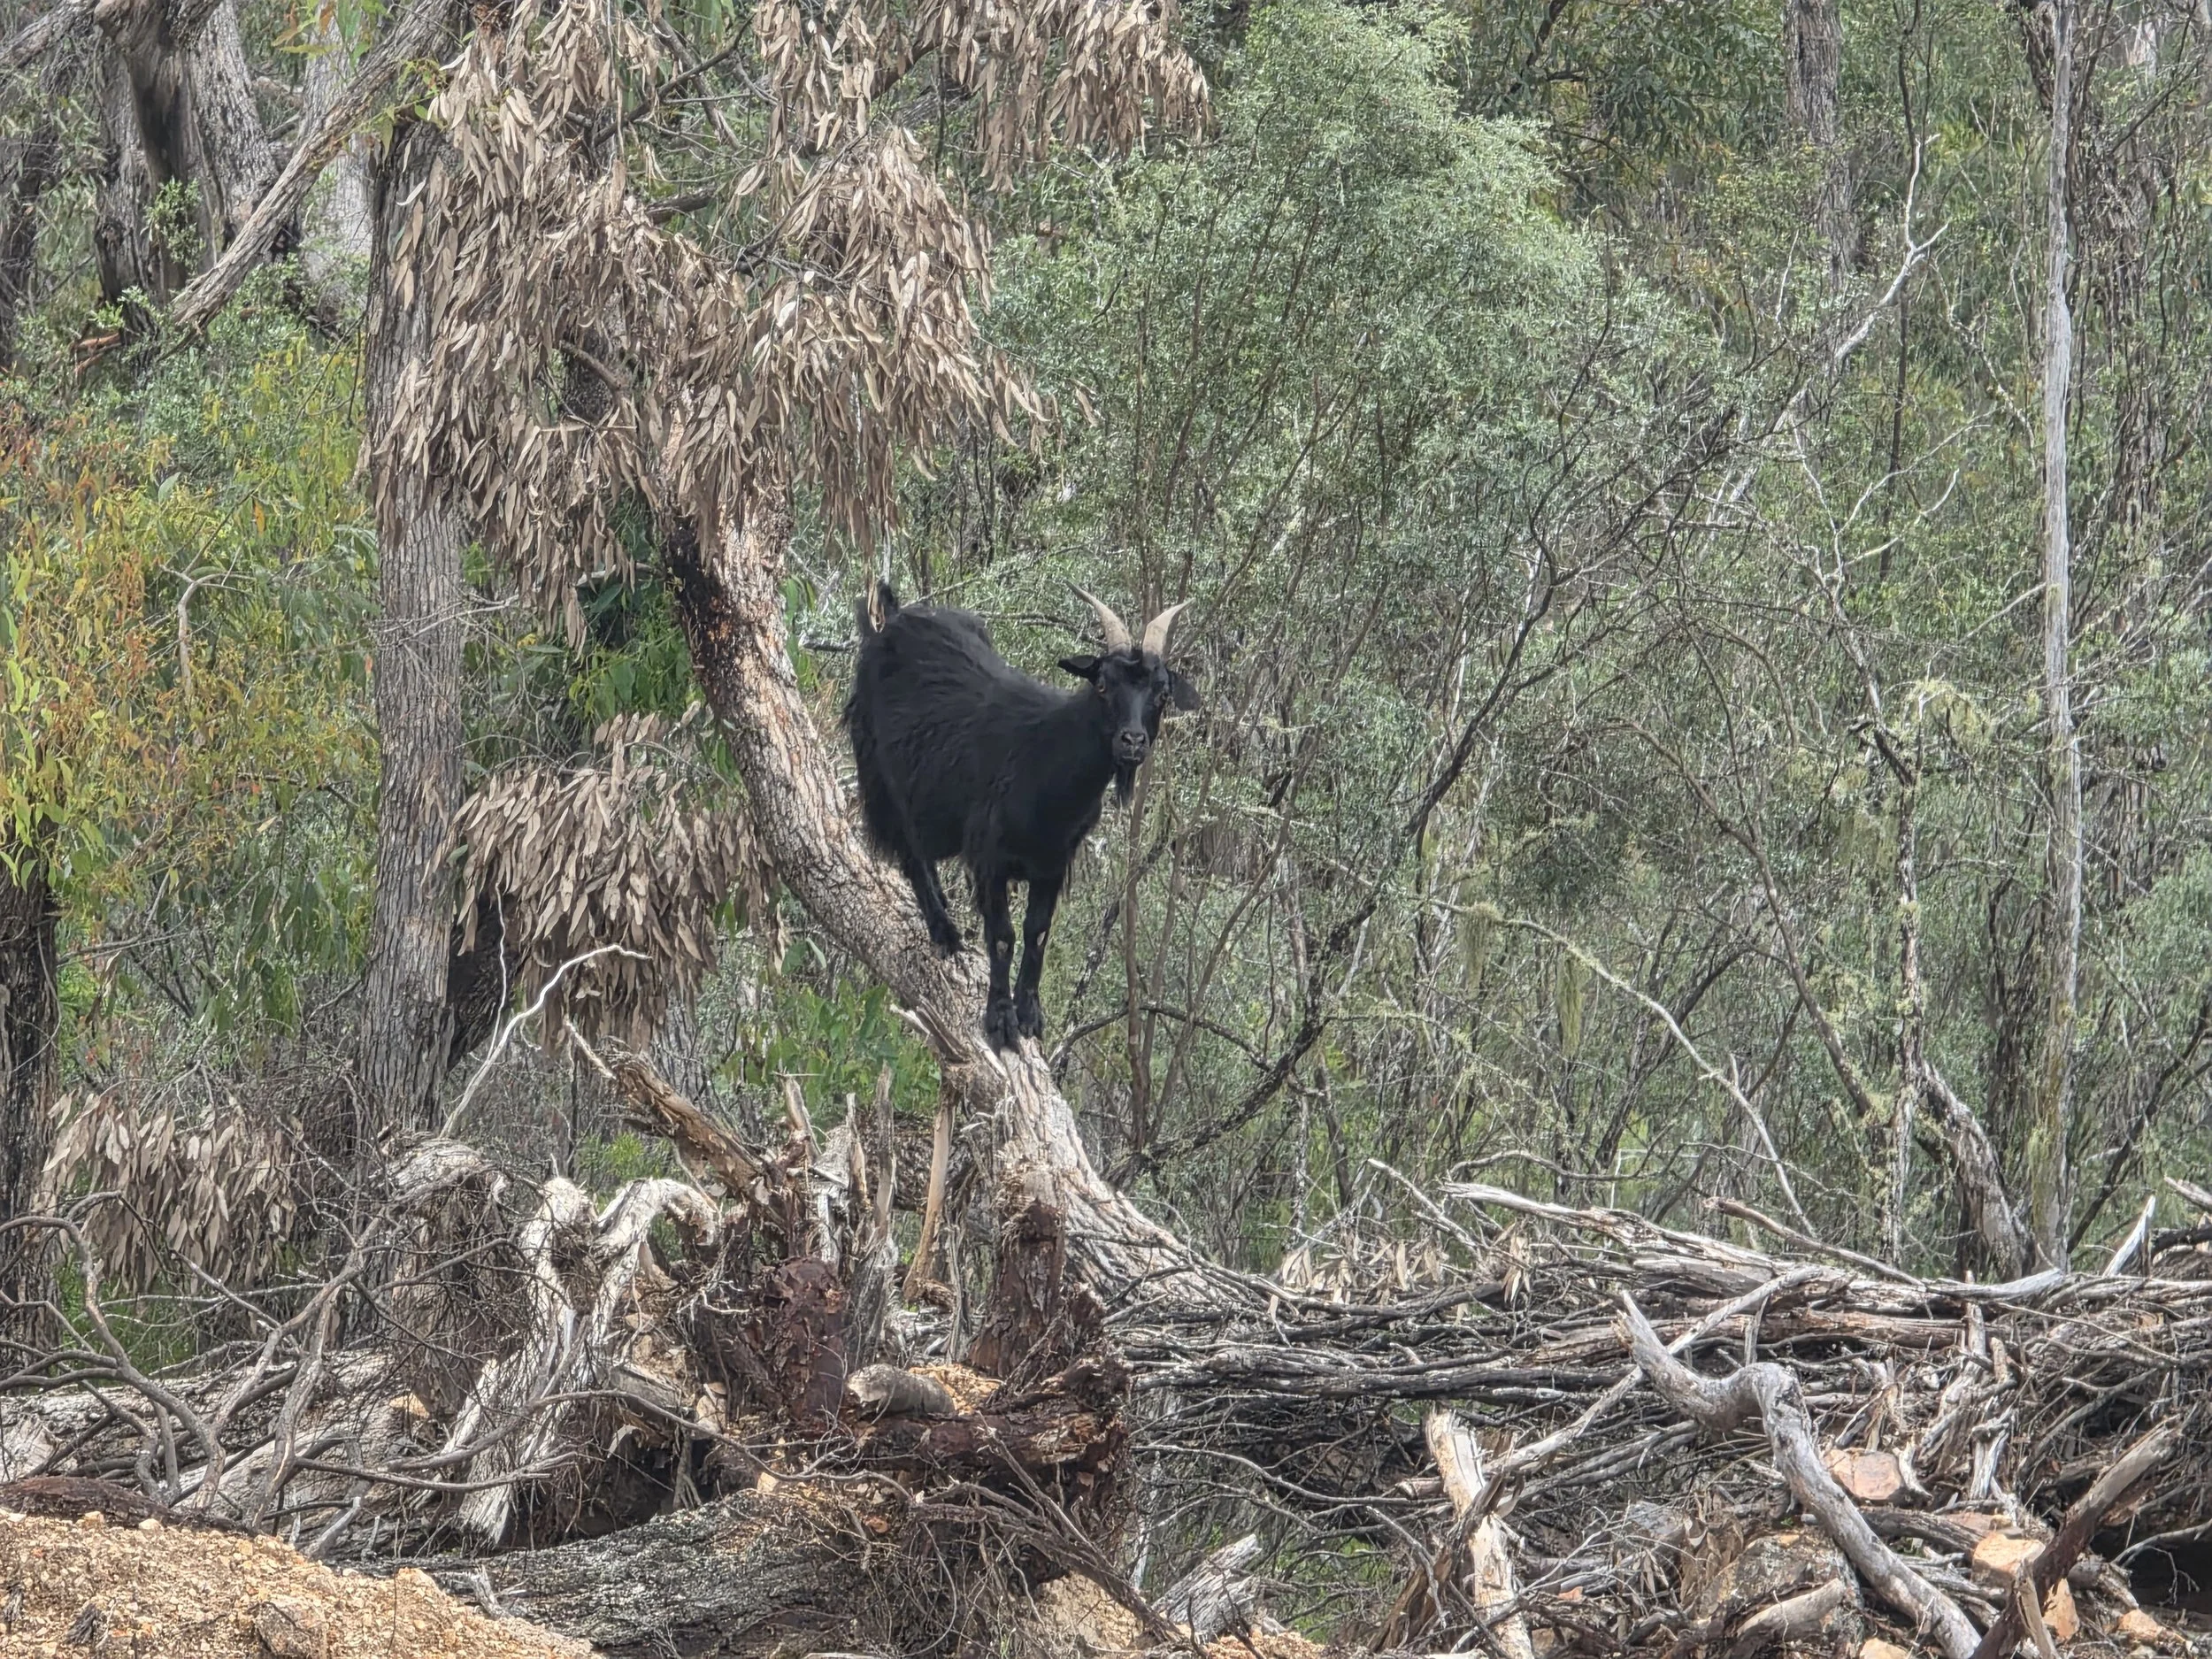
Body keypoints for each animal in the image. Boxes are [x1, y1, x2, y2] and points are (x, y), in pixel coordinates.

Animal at [844, 581, 1197, 1049]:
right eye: (1103, 684)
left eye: (1162, 694)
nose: (1133, 741)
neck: (1044, 761)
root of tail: (894, 619)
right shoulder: (989, 858)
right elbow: (1003, 937)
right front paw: (1000, 1020)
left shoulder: (1053, 863)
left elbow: (1037, 933)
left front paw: (1030, 1014)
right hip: (882, 777)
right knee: (910, 853)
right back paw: (944, 932)